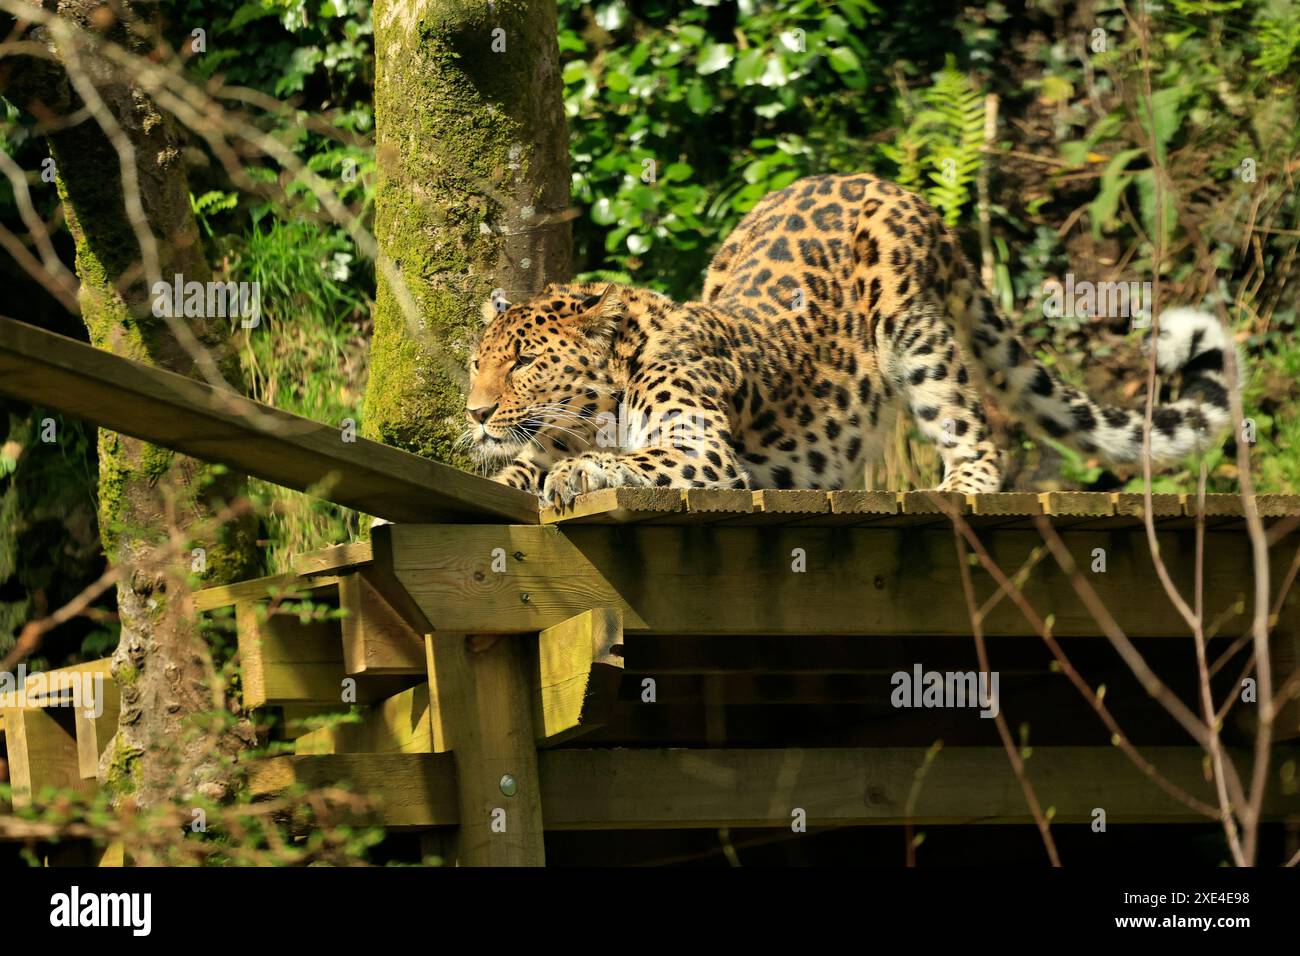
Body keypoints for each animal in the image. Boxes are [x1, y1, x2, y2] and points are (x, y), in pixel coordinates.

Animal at [465, 171, 1227, 509]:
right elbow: (513, 474)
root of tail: (881, 181)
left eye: (525, 361)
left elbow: (631, 458)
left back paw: (961, 486)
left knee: (976, 430)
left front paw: (580, 472)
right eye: (477, 364)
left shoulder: (705, 453)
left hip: (911, 323)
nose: (475, 412)